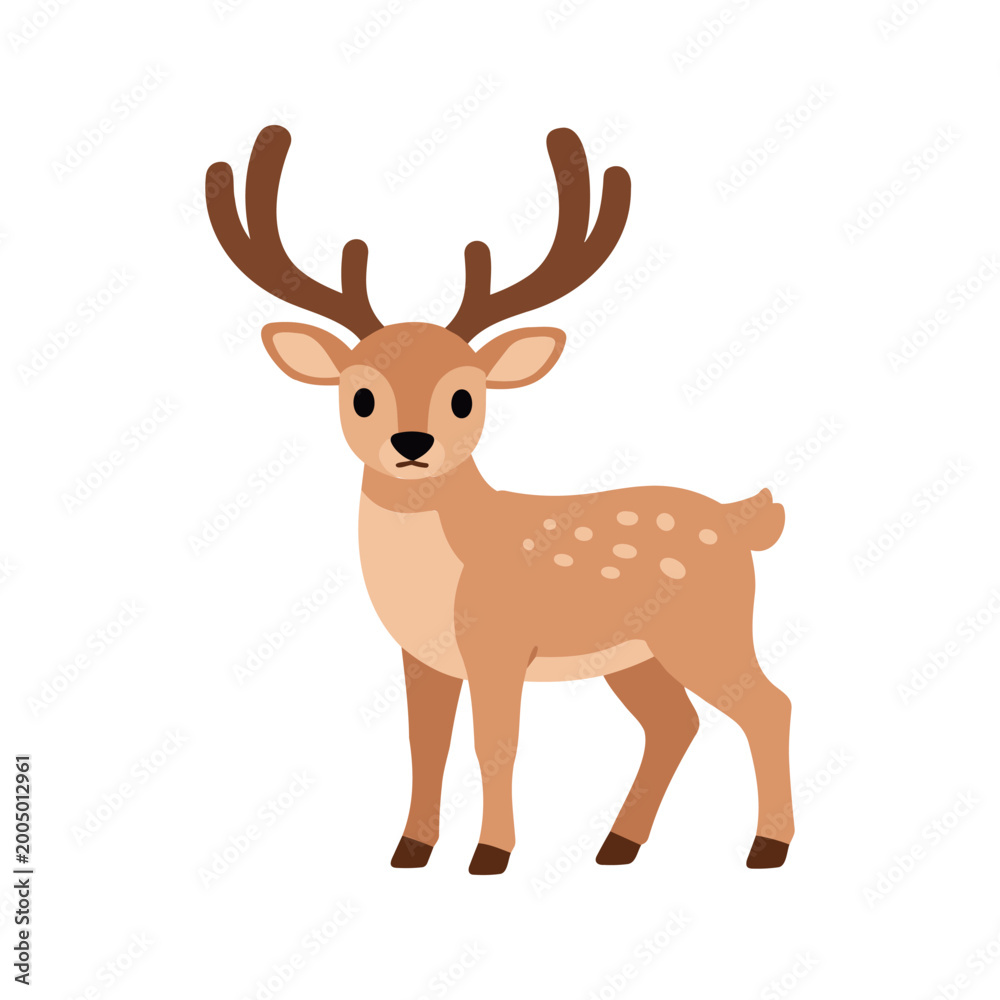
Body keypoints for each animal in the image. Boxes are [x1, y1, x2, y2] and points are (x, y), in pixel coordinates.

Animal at [205, 125, 794, 875]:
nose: (412, 441)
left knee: (768, 706)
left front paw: (490, 854)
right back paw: (617, 846)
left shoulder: (500, 644)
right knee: (675, 723)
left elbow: (496, 744)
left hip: (707, 629)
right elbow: (425, 745)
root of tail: (746, 518)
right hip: (636, 652)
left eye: (464, 396)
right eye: (361, 394)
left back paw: (766, 847)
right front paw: (410, 850)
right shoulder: (424, 655)